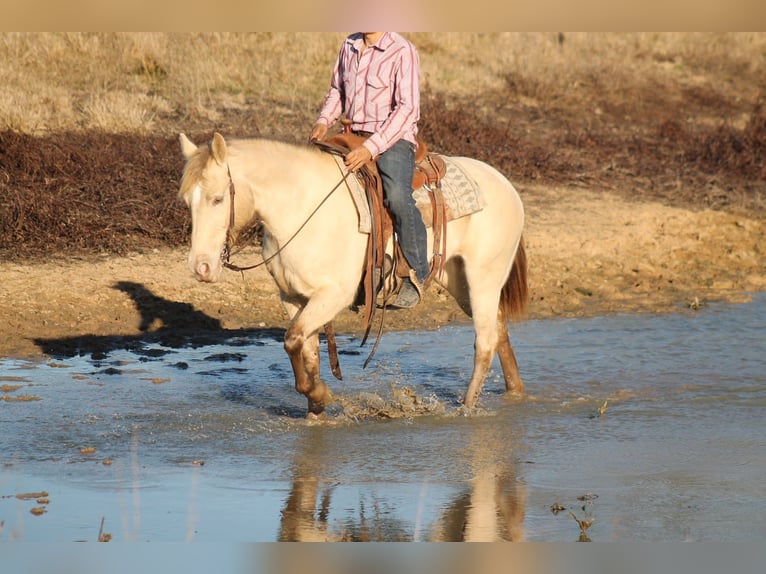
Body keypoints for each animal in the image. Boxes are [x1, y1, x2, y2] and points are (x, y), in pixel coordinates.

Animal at [177, 132, 528, 418]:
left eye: (218, 198)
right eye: (187, 201)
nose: (200, 267)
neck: (301, 208)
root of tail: (505, 183)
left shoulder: (333, 296)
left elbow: (293, 340)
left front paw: (320, 395)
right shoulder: (293, 298)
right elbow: (304, 349)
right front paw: (316, 409)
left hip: (484, 276)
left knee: (485, 340)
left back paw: (466, 408)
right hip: (459, 281)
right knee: (499, 328)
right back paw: (515, 393)